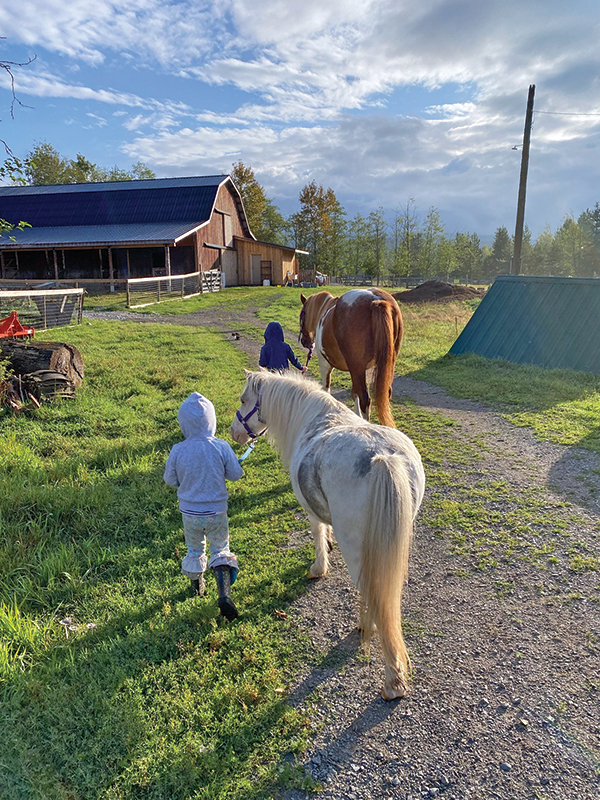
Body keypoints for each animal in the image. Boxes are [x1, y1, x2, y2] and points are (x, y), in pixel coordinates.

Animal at [230, 370, 425, 700]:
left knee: (375, 595)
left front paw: (318, 569)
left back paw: (391, 678)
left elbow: (318, 534)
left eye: (245, 400)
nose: (234, 433)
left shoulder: (310, 512)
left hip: (359, 551)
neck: (313, 416)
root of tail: (383, 458)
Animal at [299, 287, 403, 427]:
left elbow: (327, 389)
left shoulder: (326, 365)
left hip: (357, 368)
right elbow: (355, 394)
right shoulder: (356, 370)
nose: (304, 342)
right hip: (385, 365)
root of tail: (376, 300)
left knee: (365, 400)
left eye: (302, 314)